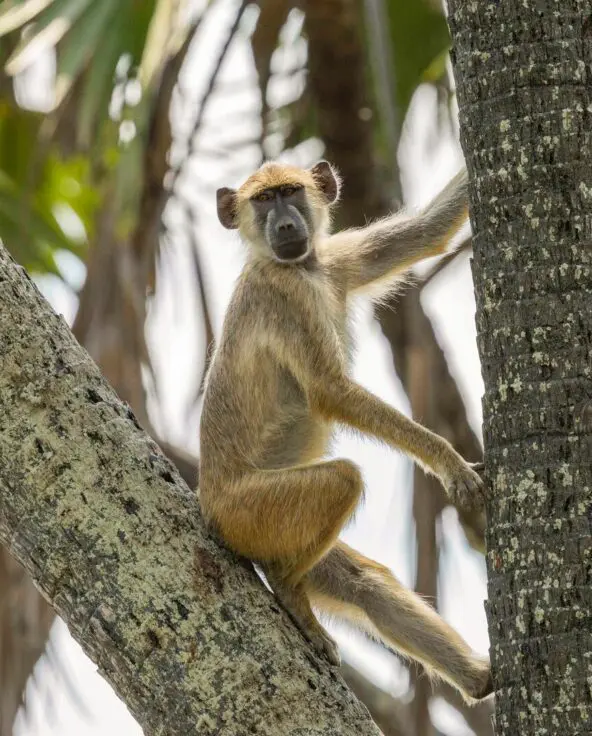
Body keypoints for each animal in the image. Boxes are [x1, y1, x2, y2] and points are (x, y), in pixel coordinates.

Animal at [198, 160, 492, 702]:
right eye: (262, 200)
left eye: (290, 192)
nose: (285, 225)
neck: (301, 268)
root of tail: (209, 506)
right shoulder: (285, 297)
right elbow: (331, 391)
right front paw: (450, 463)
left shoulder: (334, 260)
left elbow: (428, 231)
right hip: (247, 514)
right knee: (342, 481)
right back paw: (286, 588)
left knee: (363, 583)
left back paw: (481, 681)